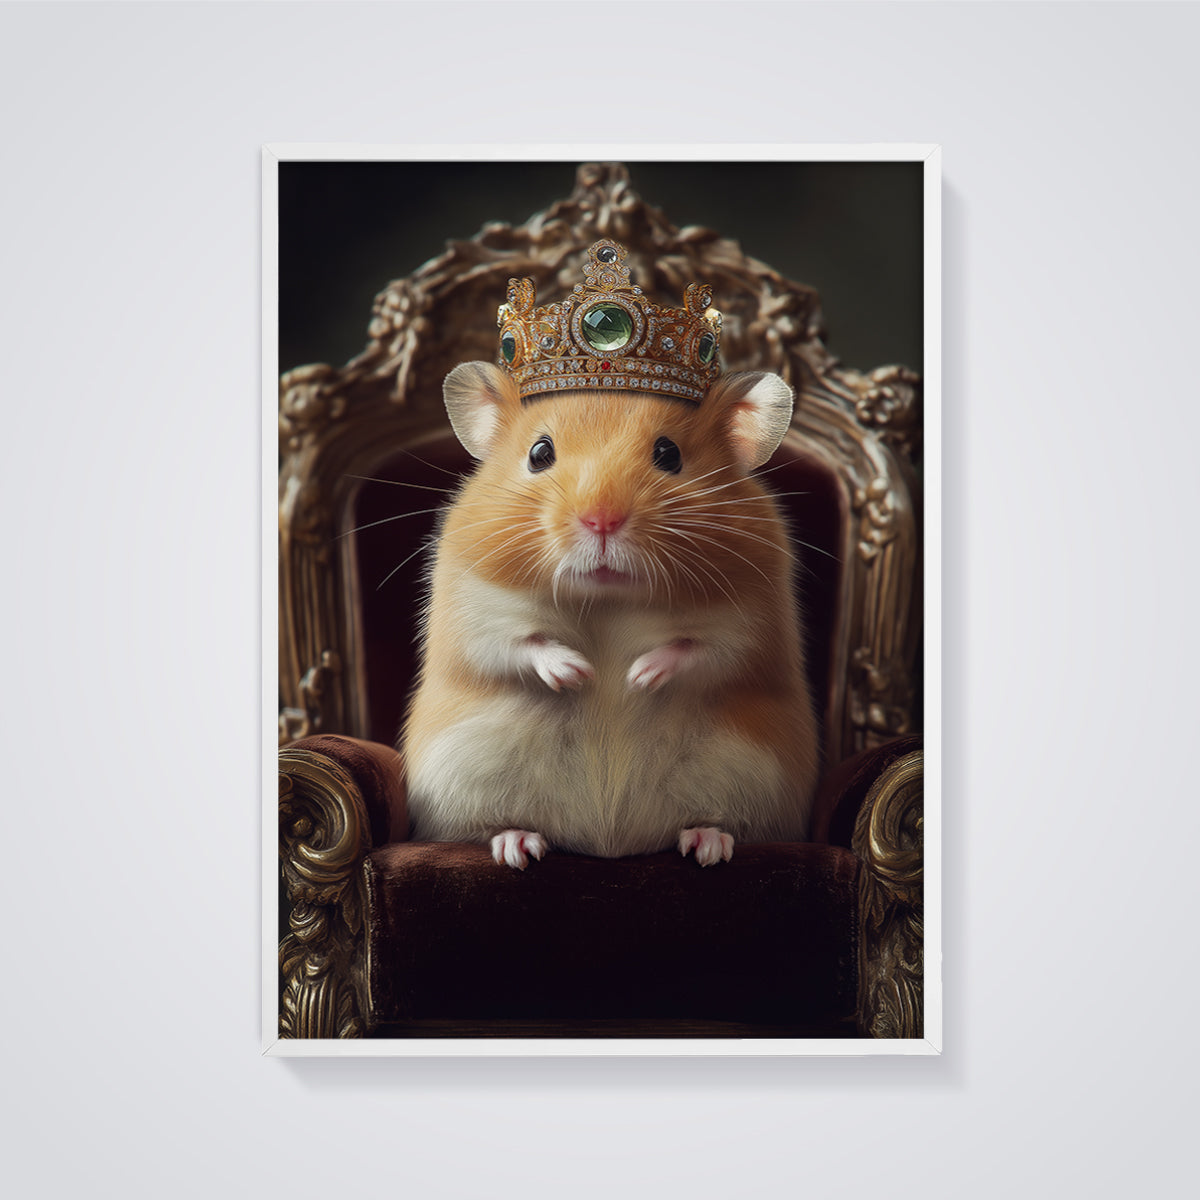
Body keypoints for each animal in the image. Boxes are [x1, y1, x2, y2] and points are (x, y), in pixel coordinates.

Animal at [401, 362, 819, 868]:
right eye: (539, 454)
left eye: (669, 454)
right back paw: (518, 846)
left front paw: (636, 677)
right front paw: (579, 674)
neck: (607, 597)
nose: (601, 521)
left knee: (720, 823)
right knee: (486, 828)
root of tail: (610, 843)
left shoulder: (750, 624)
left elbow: (698, 648)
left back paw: (708, 845)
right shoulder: (474, 613)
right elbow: (521, 643)